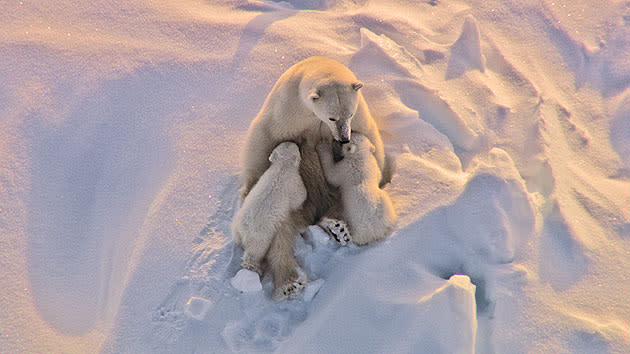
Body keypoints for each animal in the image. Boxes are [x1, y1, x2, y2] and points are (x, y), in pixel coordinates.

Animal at [235, 142, 308, 278]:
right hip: (259, 236)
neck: (282, 167)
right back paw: (254, 267)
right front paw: (301, 205)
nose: (295, 142)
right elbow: (300, 197)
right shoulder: (294, 183)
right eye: (296, 147)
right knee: (254, 252)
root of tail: (241, 229)